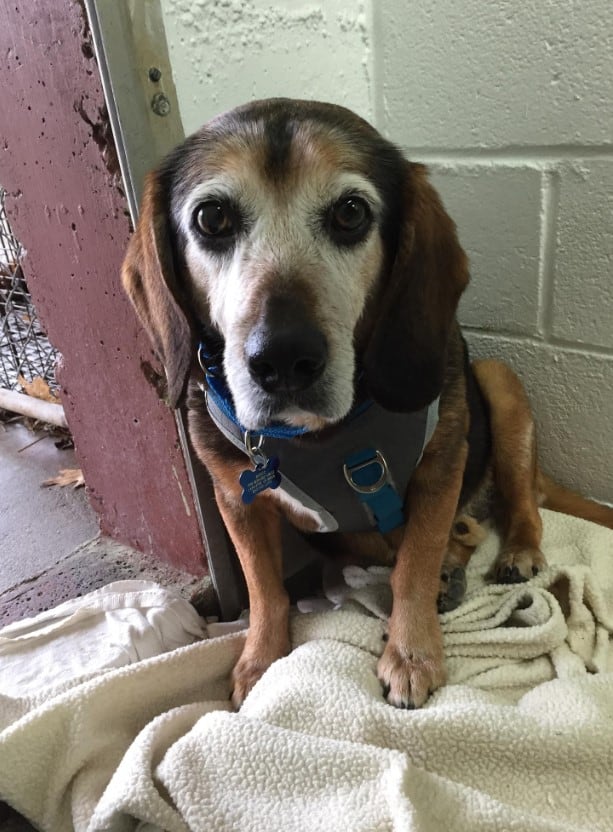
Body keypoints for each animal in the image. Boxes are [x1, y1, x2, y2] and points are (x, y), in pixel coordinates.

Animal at [122, 97, 612, 708]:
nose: (283, 358)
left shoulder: (439, 472)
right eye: (211, 218)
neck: (320, 435)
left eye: (351, 213)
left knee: (519, 506)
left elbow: (413, 570)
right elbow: (264, 588)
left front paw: (412, 655)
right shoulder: (235, 499)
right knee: (455, 534)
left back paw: (514, 553)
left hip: (500, 385)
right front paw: (260, 660)